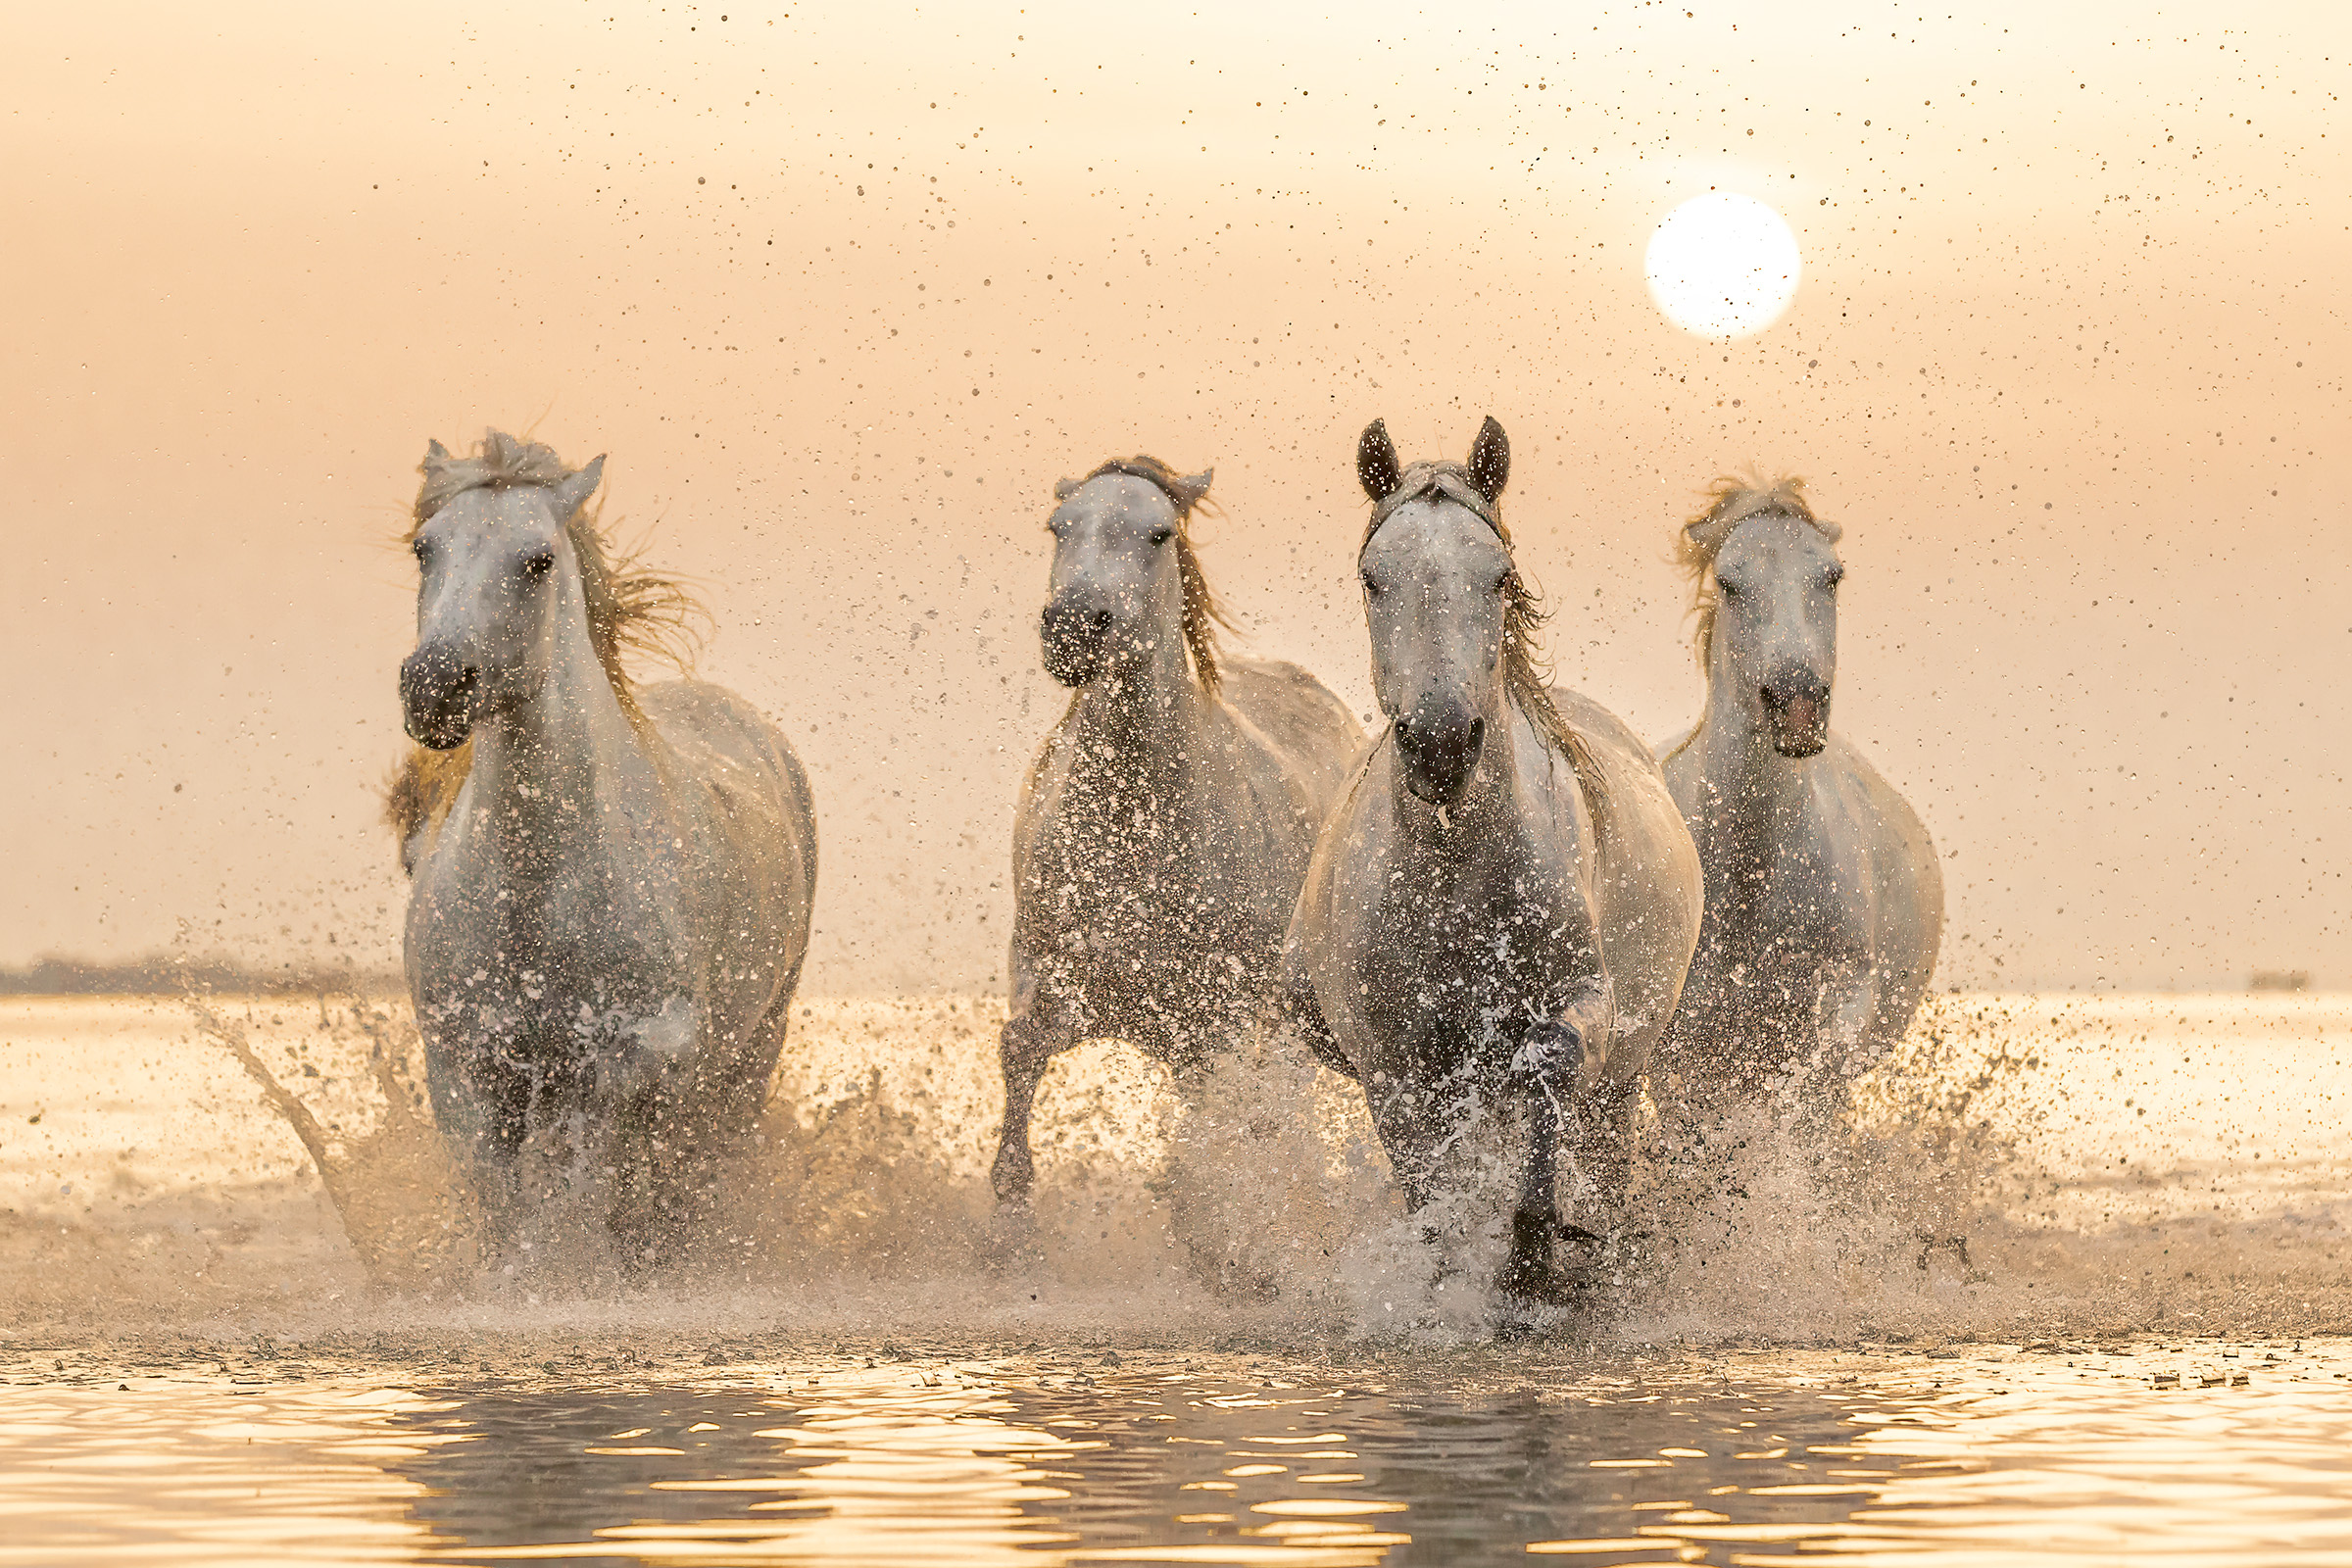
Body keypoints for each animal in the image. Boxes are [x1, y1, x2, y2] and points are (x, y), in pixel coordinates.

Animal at [392, 432, 818, 1259]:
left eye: (537, 561)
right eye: (426, 548)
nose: (435, 687)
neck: (537, 886)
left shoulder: (611, 1075)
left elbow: (584, 1210)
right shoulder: (469, 1077)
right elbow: (508, 1222)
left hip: (746, 1061)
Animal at [1279, 420, 1702, 1316]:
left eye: (1497, 576)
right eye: (1373, 579)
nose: (1441, 742)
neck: (1455, 873)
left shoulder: (1583, 1001)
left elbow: (1547, 1060)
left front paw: (1534, 1252)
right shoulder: (1394, 1065)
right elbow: (1433, 1192)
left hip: (1625, 1076)